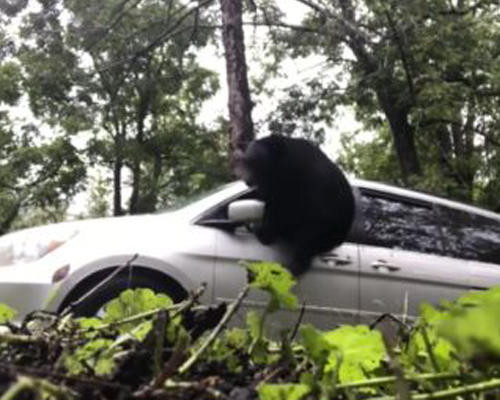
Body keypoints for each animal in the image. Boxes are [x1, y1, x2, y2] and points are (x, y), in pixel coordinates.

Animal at [237, 134, 356, 276]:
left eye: (254, 162)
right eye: (245, 162)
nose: (246, 180)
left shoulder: (304, 179)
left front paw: (263, 230)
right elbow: (270, 201)